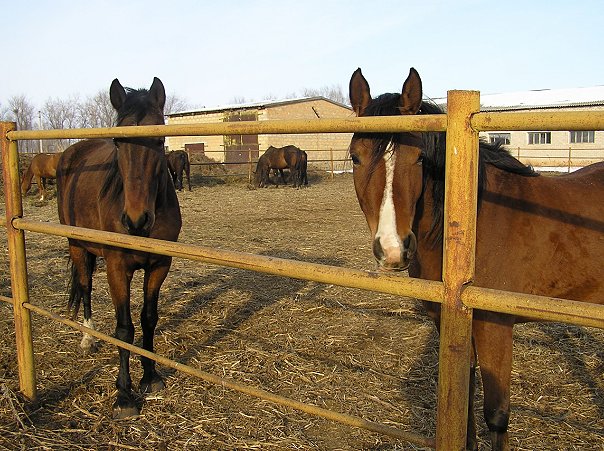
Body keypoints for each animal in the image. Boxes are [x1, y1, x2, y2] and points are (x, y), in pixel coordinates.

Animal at [56, 77, 182, 419]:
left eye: (159, 141)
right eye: (117, 142)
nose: (136, 220)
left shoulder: (159, 265)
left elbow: (148, 319)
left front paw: (150, 377)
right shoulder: (116, 267)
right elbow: (124, 329)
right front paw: (124, 395)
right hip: (77, 246)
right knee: (85, 288)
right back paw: (88, 338)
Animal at [348, 67, 604, 450]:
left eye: (419, 157)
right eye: (355, 157)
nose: (393, 249)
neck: (470, 220)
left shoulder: (495, 324)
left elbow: (496, 415)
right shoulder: (448, 320)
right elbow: (463, 398)